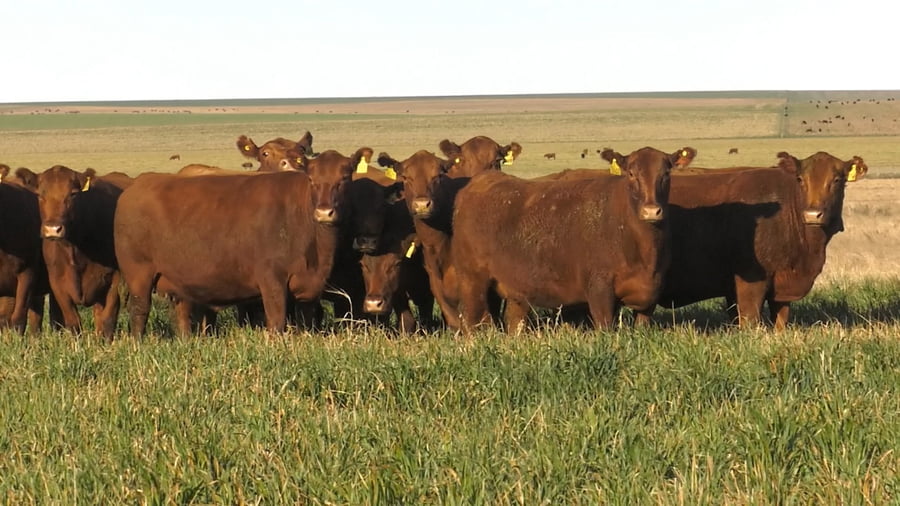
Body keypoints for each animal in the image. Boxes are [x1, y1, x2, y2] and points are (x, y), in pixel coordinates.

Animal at [15, 166, 130, 337]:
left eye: (73, 194)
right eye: (39, 195)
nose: (53, 229)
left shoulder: (114, 280)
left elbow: (108, 320)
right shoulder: (58, 284)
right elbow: (73, 321)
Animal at [114, 148, 368, 336]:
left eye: (344, 178)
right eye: (312, 179)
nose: (325, 212)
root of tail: (137, 185)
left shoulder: (308, 290)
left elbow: (306, 322)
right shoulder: (271, 280)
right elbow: (276, 322)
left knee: (182, 313)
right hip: (139, 275)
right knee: (139, 310)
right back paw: (137, 344)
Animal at [450, 146, 695, 333]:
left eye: (666, 174)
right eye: (631, 174)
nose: (651, 211)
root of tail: (478, 183)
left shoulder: (649, 296)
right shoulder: (599, 290)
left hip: (515, 290)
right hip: (473, 281)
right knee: (472, 321)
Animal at [633, 151, 867, 330]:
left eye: (837, 180)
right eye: (801, 179)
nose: (812, 214)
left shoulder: (781, 288)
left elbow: (780, 321)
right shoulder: (750, 282)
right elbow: (750, 320)